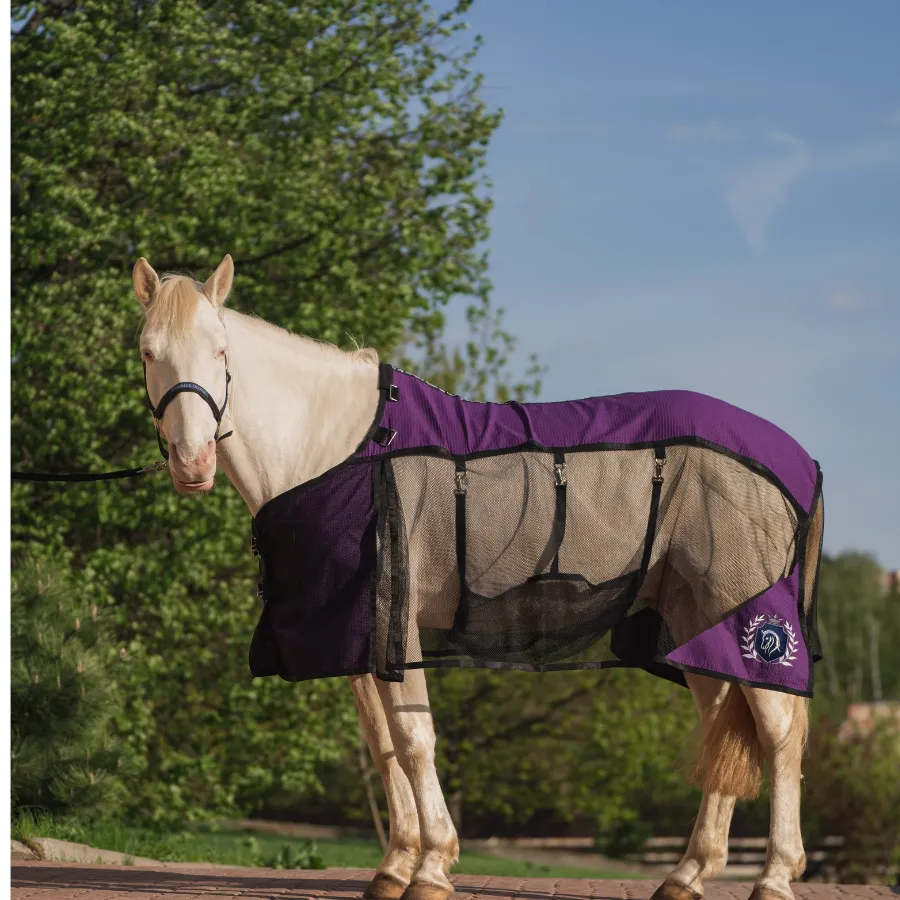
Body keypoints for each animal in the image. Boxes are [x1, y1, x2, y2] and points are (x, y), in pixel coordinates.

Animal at [133, 254, 824, 900]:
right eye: (147, 352)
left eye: (220, 350)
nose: (192, 464)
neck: (340, 450)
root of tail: (799, 458)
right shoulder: (358, 633)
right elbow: (384, 742)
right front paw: (395, 866)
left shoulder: (396, 626)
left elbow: (414, 738)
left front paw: (433, 866)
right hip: (693, 621)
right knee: (721, 728)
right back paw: (687, 874)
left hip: (749, 619)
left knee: (779, 734)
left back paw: (774, 876)